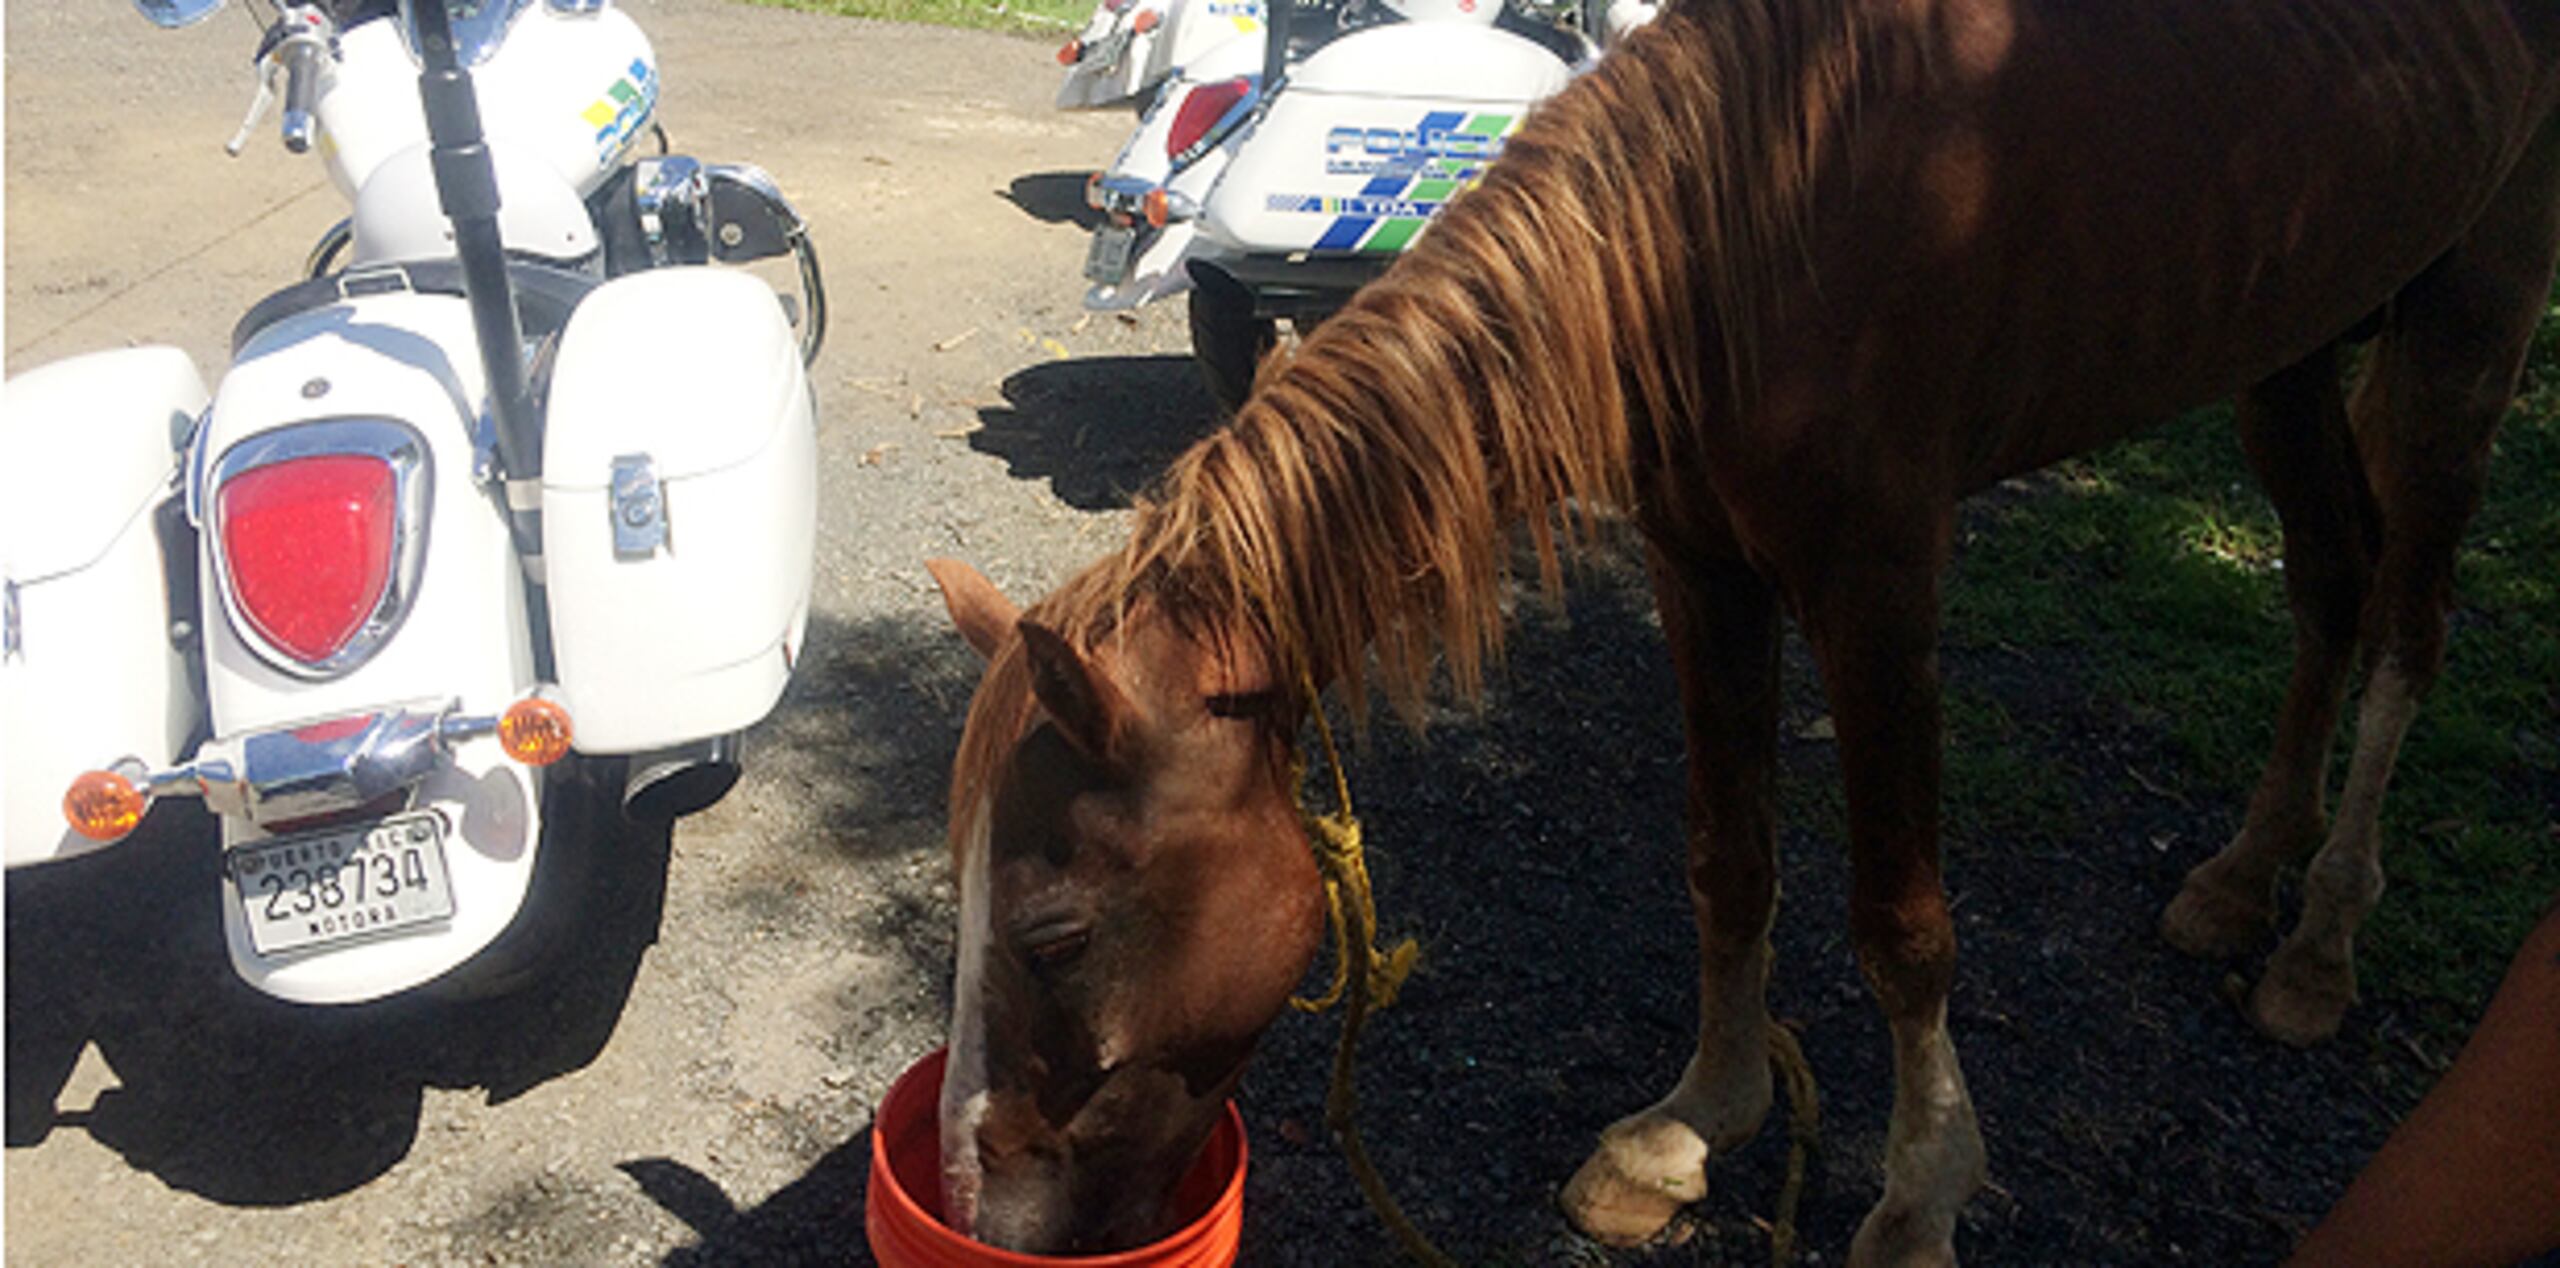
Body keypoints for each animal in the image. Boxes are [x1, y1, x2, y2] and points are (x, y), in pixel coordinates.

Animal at [926, 0, 2560, 1255]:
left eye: (1058, 932)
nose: (984, 1209)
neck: (1745, 221)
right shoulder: (1699, 563)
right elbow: (1728, 856)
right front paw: (1692, 1131)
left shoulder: (1879, 575)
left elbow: (1903, 923)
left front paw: (1917, 1201)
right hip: (2291, 342)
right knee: (2330, 585)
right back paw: (2240, 880)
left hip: (2467, 326)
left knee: (2410, 624)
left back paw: (2323, 940)